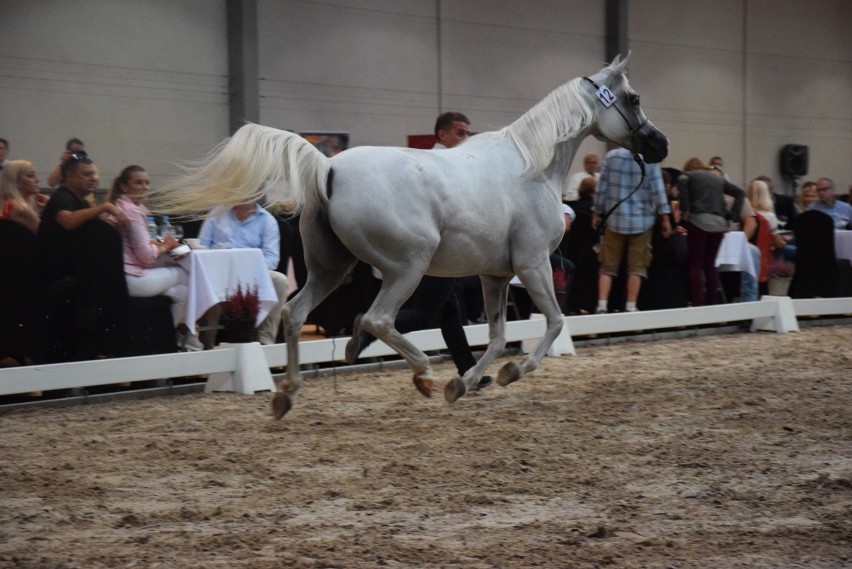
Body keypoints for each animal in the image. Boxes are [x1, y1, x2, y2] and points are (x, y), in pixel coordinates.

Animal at [148, 54, 664, 418]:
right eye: (635, 99)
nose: (660, 144)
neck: (531, 167)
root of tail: (328, 166)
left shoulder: (495, 276)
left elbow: (497, 336)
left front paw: (465, 383)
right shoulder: (533, 265)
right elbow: (554, 324)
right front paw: (508, 374)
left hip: (331, 269)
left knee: (296, 314)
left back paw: (288, 394)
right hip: (407, 267)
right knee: (375, 318)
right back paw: (419, 373)